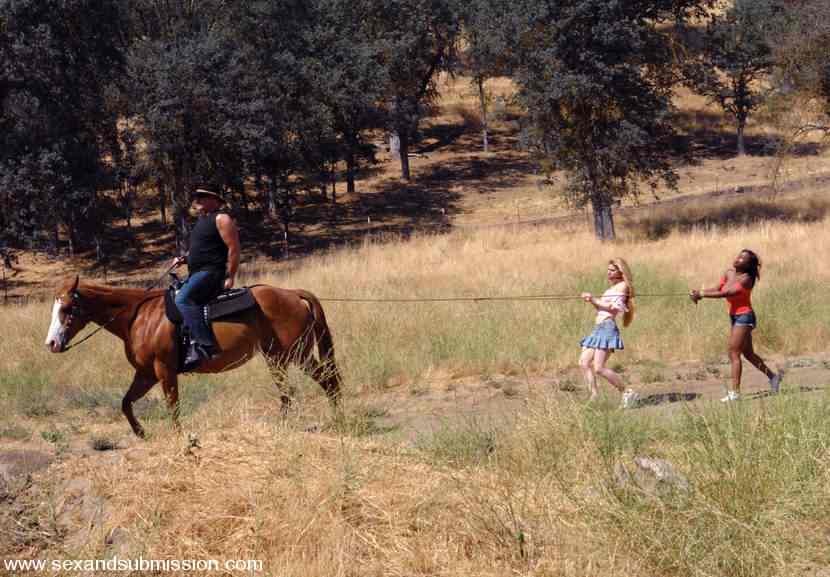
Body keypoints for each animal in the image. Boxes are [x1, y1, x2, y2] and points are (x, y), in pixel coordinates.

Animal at [44, 276, 342, 434]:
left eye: (67, 308)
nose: (51, 344)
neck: (139, 317)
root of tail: (293, 294)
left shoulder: (164, 370)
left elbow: (173, 406)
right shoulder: (146, 374)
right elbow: (126, 402)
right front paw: (141, 433)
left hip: (293, 355)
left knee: (323, 383)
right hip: (279, 357)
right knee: (304, 388)